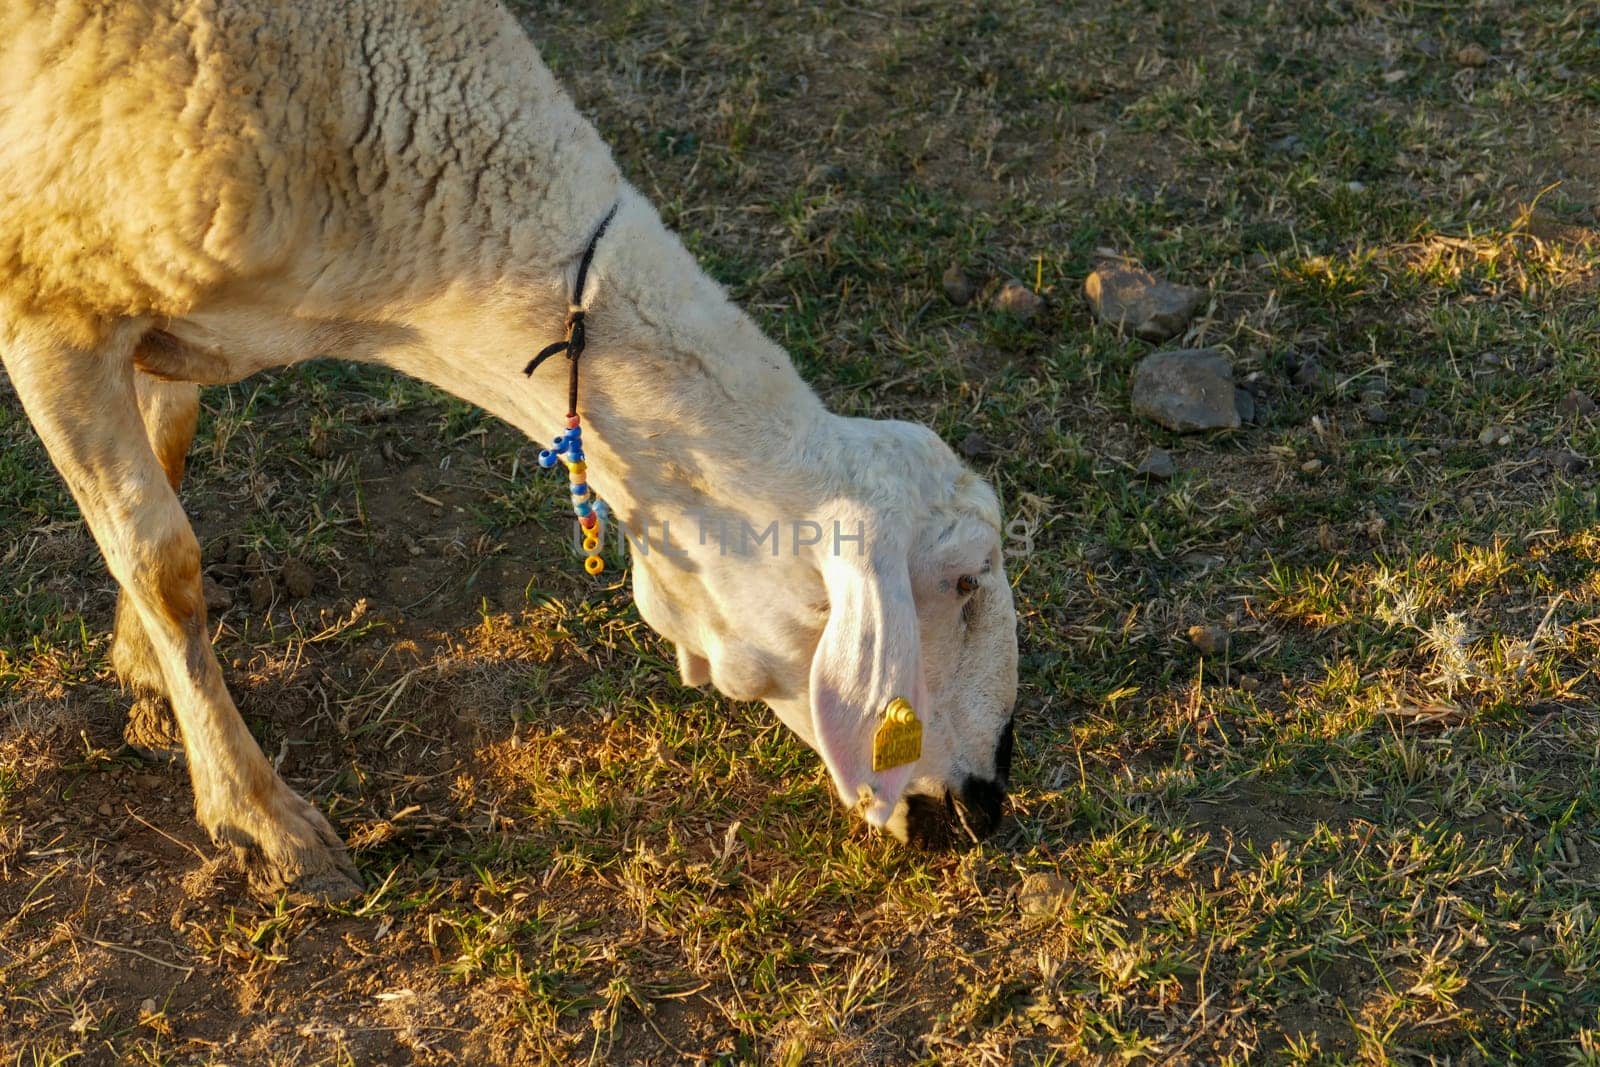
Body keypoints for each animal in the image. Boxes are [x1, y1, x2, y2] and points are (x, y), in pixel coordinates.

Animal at [0, 0, 1017, 902]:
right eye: (965, 580)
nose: (988, 804)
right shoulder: (49, 311)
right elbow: (164, 560)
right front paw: (259, 817)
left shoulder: (168, 321)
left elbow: (168, 463)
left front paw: (144, 667)